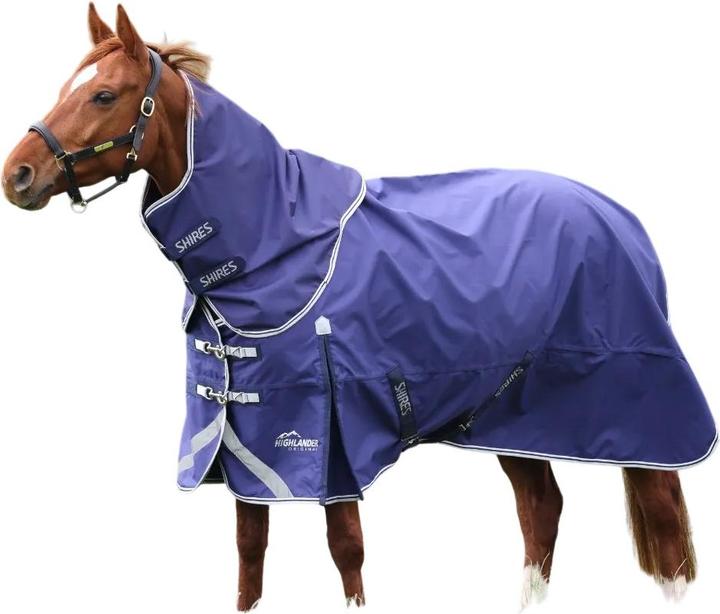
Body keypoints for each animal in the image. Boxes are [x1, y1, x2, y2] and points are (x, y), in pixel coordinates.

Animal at [2, 4, 714, 610]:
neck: (273, 243)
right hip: (511, 414)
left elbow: (346, 551)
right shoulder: (241, 440)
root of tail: (620, 217)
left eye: (103, 95)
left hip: (637, 413)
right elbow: (250, 551)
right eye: (67, 86)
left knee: (666, 536)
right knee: (541, 510)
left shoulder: (332, 437)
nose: (18, 175)